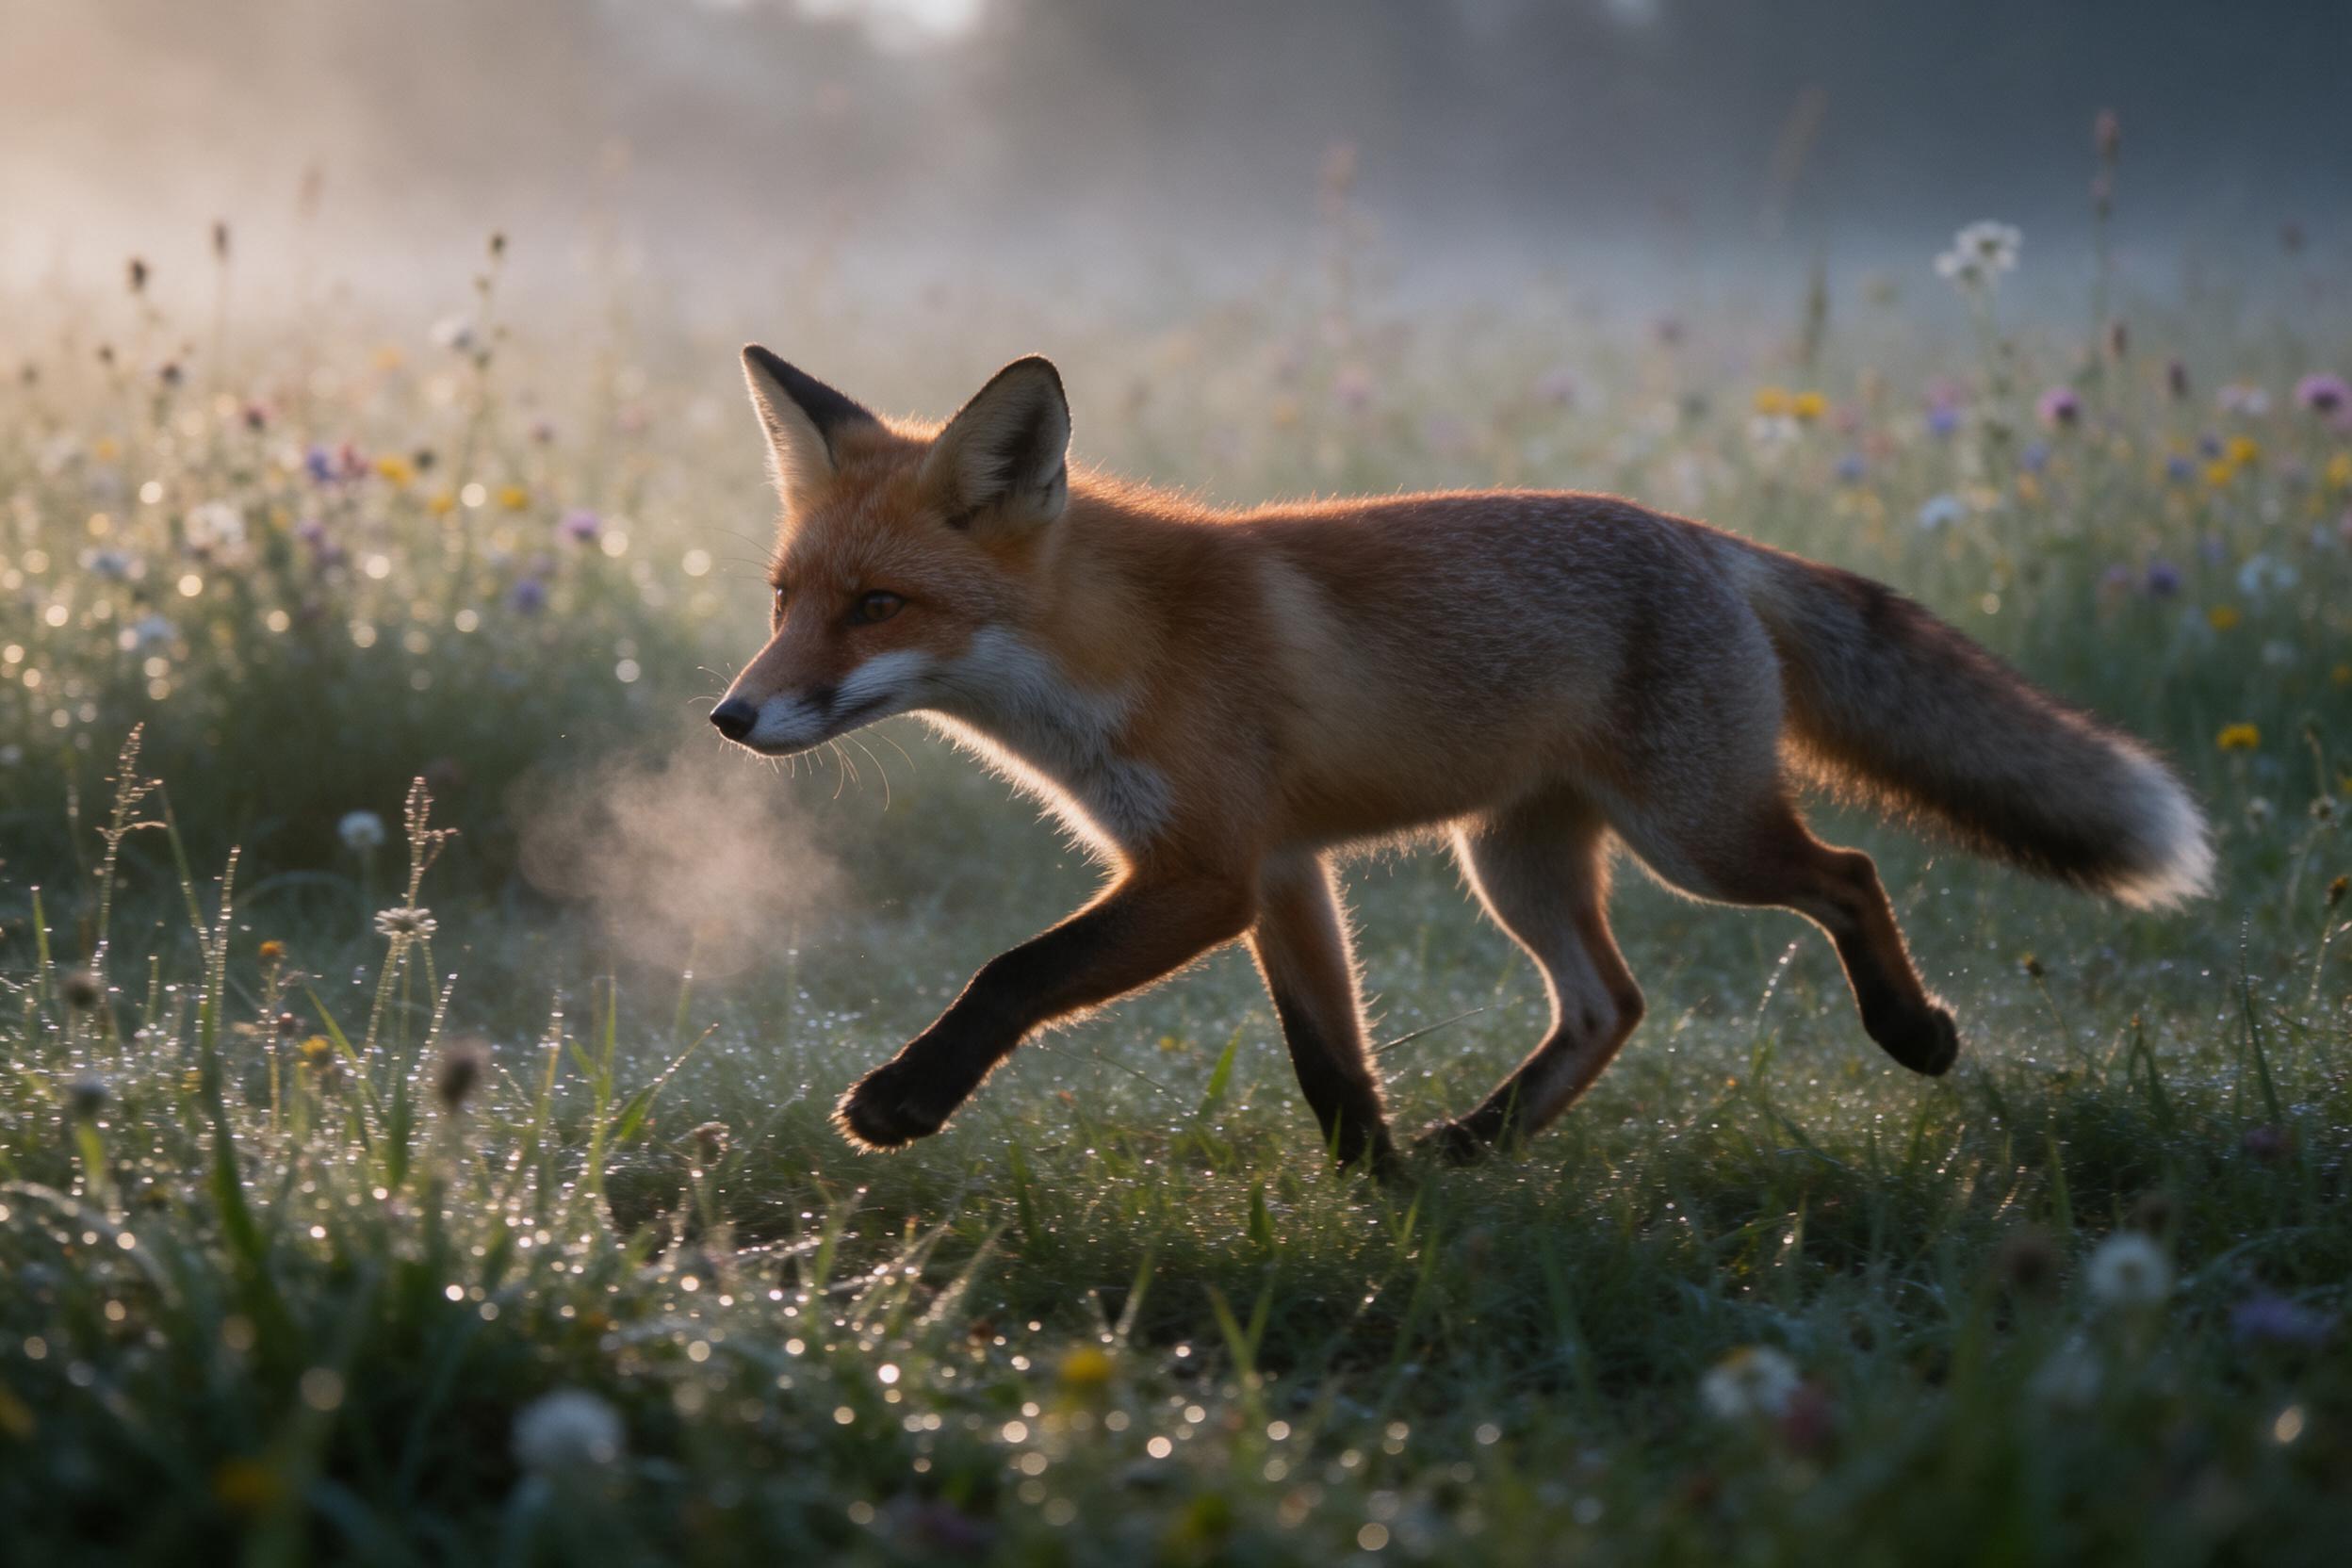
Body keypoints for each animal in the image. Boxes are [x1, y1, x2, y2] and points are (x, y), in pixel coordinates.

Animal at [710, 345, 2212, 1169]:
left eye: (877, 607)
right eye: (784, 600)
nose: (731, 717)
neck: (1114, 655)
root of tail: (1699, 537)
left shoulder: (1206, 870)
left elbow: (1013, 970)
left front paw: (905, 1098)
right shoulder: (1280, 873)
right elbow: (1330, 1060)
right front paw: (1380, 1192)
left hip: (1699, 839)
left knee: (1845, 874)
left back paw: (1913, 1032)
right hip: (1514, 858)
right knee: (1611, 1004)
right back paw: (1481, 1144)